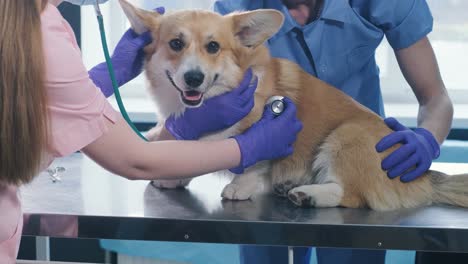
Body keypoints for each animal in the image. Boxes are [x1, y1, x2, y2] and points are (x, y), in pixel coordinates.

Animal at [118, 0, 468, 210]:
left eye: (213, 47)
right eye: (176, 44)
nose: (193, 78)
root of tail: (423, 176)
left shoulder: (268, 130)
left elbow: (254, 159)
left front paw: (241, 185)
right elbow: (190, 152)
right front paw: (176, 176)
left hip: (347, 136)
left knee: (352, 196)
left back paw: (309, 194)